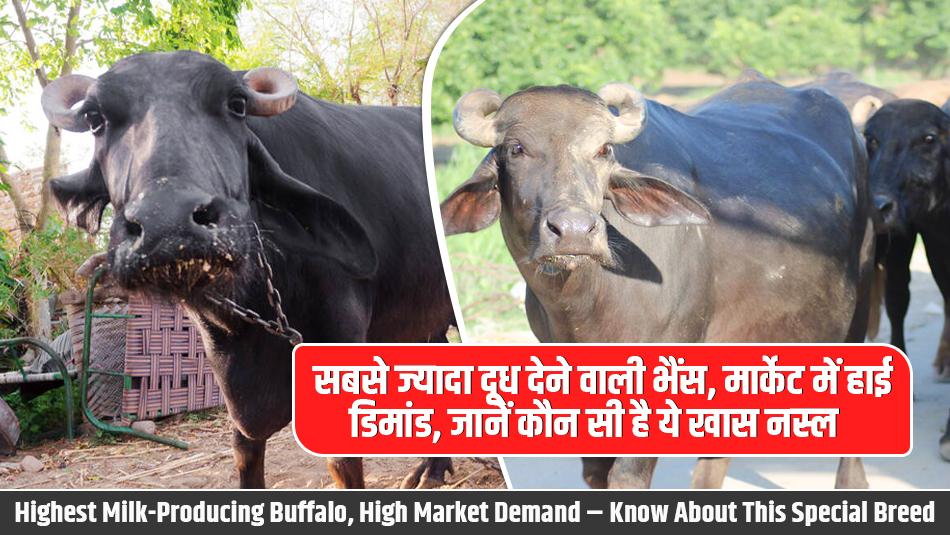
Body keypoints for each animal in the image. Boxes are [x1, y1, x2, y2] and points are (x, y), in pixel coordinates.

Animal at [42, 51, 456, 488]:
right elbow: (245, 451)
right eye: (95, 119)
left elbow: (342, 462)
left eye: (236, 105)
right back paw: (433, 467)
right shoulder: (234, 389)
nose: (167, 223)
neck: (255, 301)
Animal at [442, 80, 873, 488]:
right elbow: (595, 472)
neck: (585, 305)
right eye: (516, 149)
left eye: (603, 150)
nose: (575, 231)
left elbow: (626, 475)